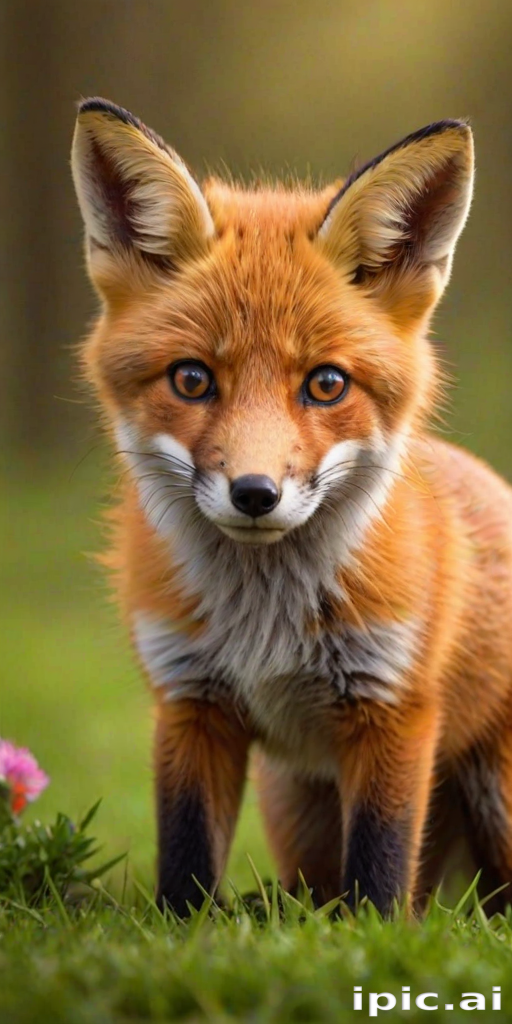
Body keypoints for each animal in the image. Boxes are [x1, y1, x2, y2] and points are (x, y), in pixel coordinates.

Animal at [71, 98, 512, 919]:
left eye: (326, 384)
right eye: (191, 379)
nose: (254, 493)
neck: (264, 626)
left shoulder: (394, 706)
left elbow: (380, 869)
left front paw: (375, 936)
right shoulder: (189, 701)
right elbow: (185, 860)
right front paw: (189, 931)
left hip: (498, 796)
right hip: (295, 809)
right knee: (318, 891)